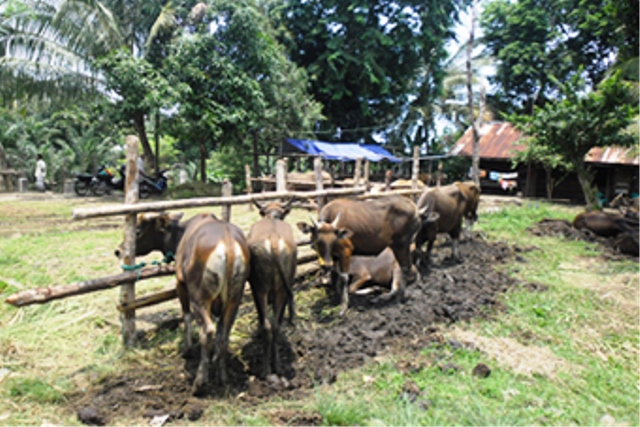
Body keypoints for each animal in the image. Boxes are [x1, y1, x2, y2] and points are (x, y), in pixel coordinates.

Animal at [248, 199, 298, 376]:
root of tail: (274, 240)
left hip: (259, 288)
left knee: (267, 326)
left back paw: (265, 369)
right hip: (281, 288)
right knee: (276, 326)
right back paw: (276, 365)